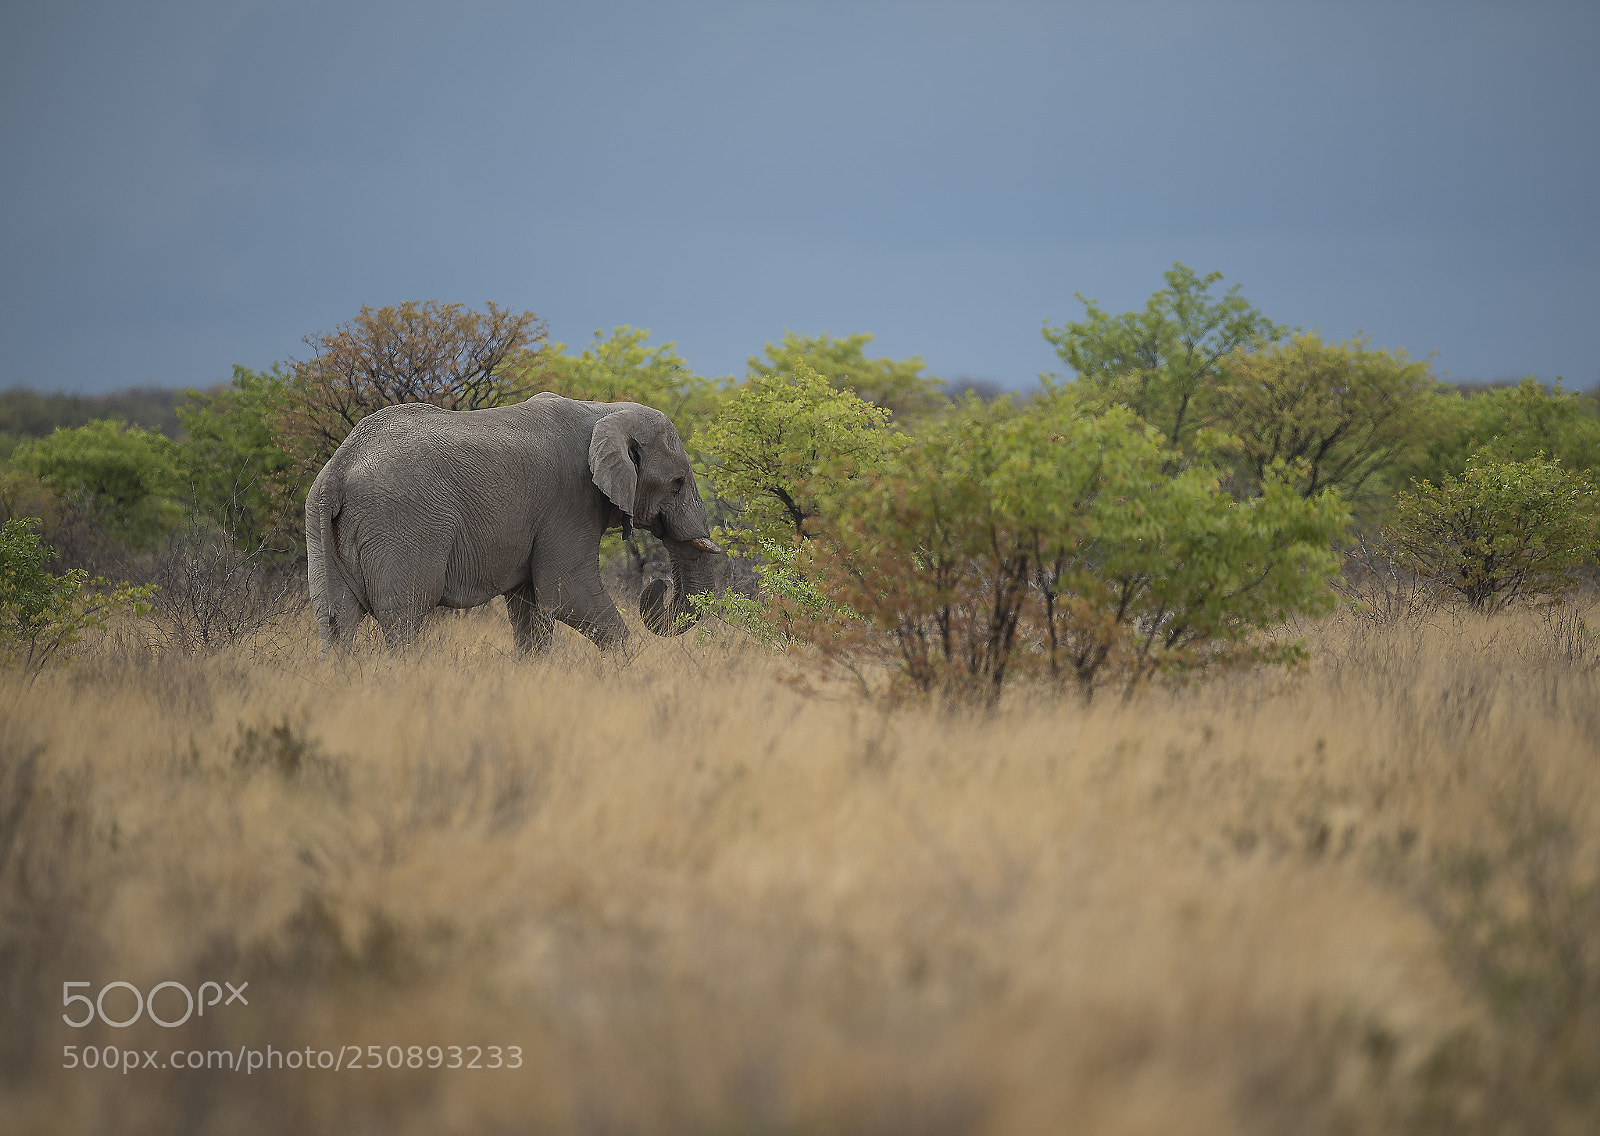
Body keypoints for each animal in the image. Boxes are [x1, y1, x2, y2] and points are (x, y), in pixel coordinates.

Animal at [305, 393, 723, 653]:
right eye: (678, 482)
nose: (658, 584)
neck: (605, 410)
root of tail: (338, 470)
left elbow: (531, 609)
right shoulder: (569, 501)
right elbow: (566, 593)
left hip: (319, 522)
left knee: (335, 619)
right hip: (402, 525)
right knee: (404, 617)